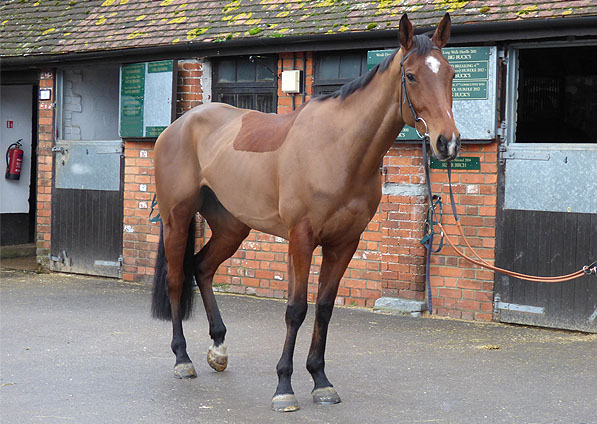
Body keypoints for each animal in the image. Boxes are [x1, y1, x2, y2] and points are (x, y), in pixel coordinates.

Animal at [151, 12, 458, 410]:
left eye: (450, 73)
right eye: (411, 76)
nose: (447, 142)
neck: (339, 149)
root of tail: (178, 126)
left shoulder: (344, 243)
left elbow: (324, 307)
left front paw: (321, 380)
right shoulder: (301, 238)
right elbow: (296, 308)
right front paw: (284, 386)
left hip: (232, 227)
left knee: (201, 268)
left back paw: (218, 348)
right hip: (177, 218)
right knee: (176, 278)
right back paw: (182, 358)